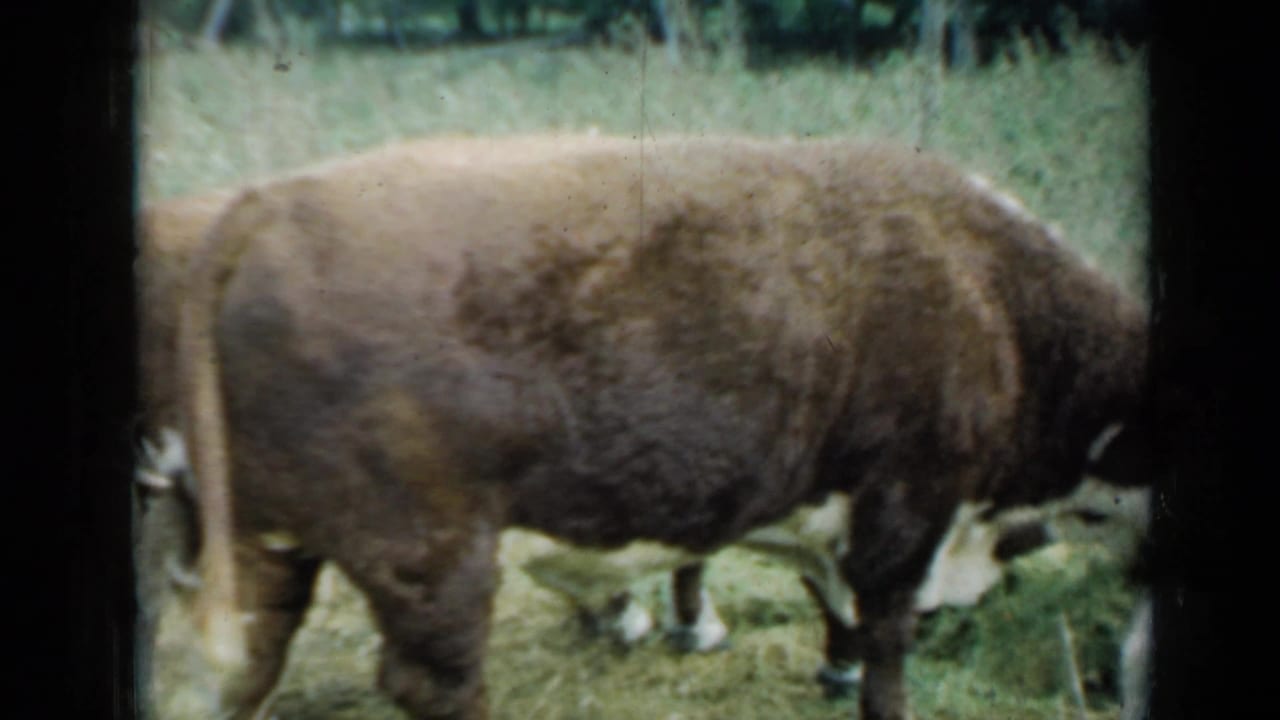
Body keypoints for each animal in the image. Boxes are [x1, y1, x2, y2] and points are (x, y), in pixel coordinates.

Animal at [161, 134, 1150, 720]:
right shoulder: (909, 499)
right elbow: (886, 637)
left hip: (262, 539)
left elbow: (833, 600)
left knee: (243, 664)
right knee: (433, 681)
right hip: (430, 551)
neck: (991, 290)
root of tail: (272, 203)